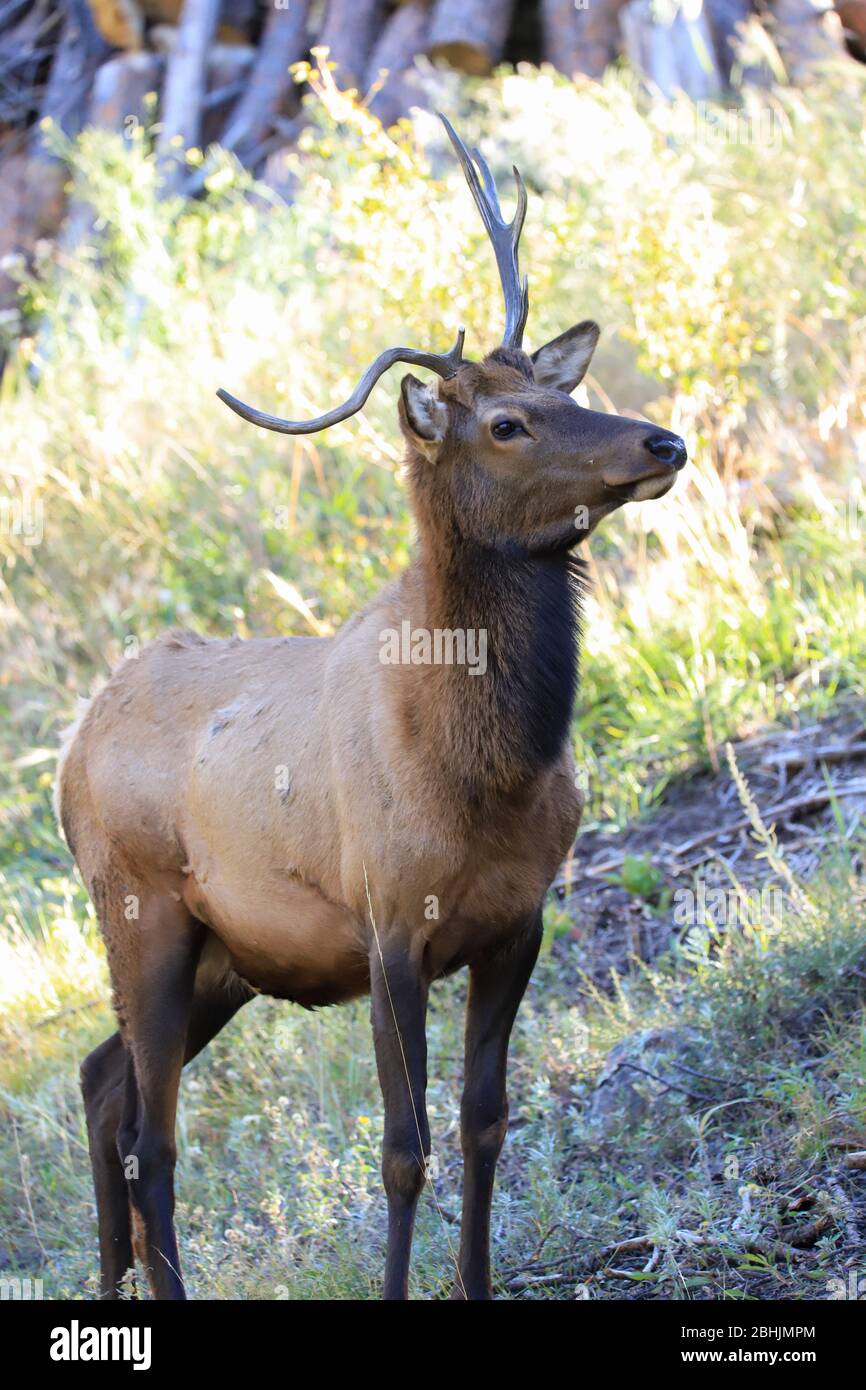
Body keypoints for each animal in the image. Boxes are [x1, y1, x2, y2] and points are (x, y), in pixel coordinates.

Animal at [57, 119, 686, 1301]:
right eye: (506, 421)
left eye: (564, 393)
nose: (661, 443)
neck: (490, 770)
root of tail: (68, 746)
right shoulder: (390, 920)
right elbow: (401, 1149)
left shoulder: (518, 919)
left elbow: (485, 1123)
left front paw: (478, 1282)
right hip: (138, 911)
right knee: (151, 1134)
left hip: (221, 959)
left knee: (100, 1076)